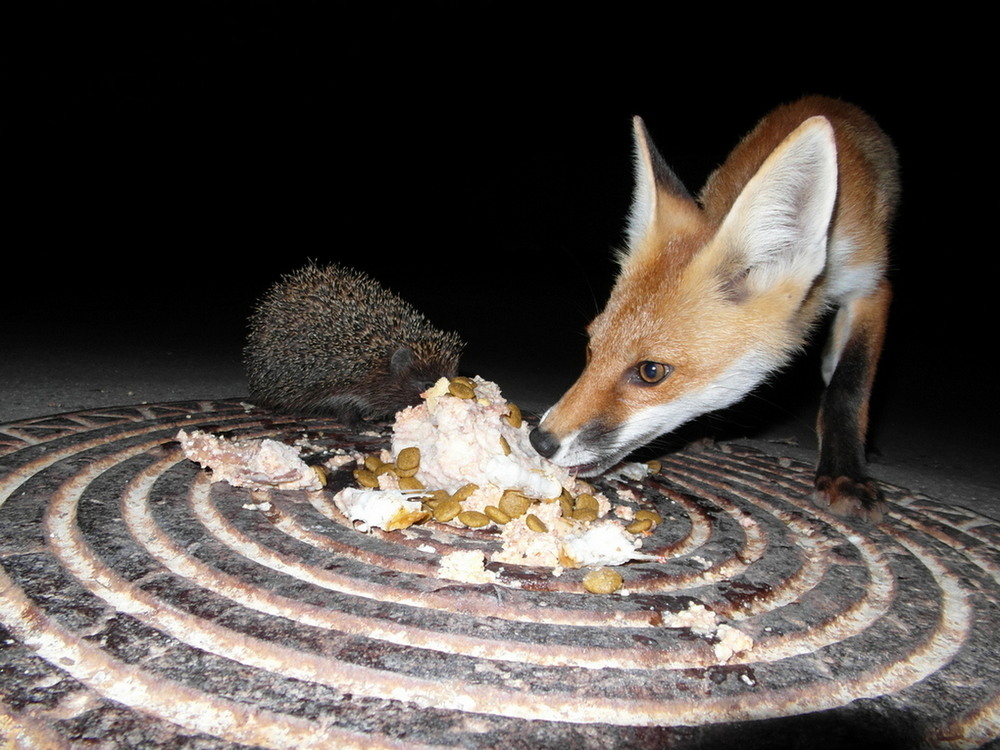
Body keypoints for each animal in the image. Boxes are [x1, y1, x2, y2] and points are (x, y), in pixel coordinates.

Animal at [532, 98, 900, 524]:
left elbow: (848, 385)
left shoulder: (871, 285)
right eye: (592, 348)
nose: (539, 441)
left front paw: (845, 476)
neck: (828, 236)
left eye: (651, 371)